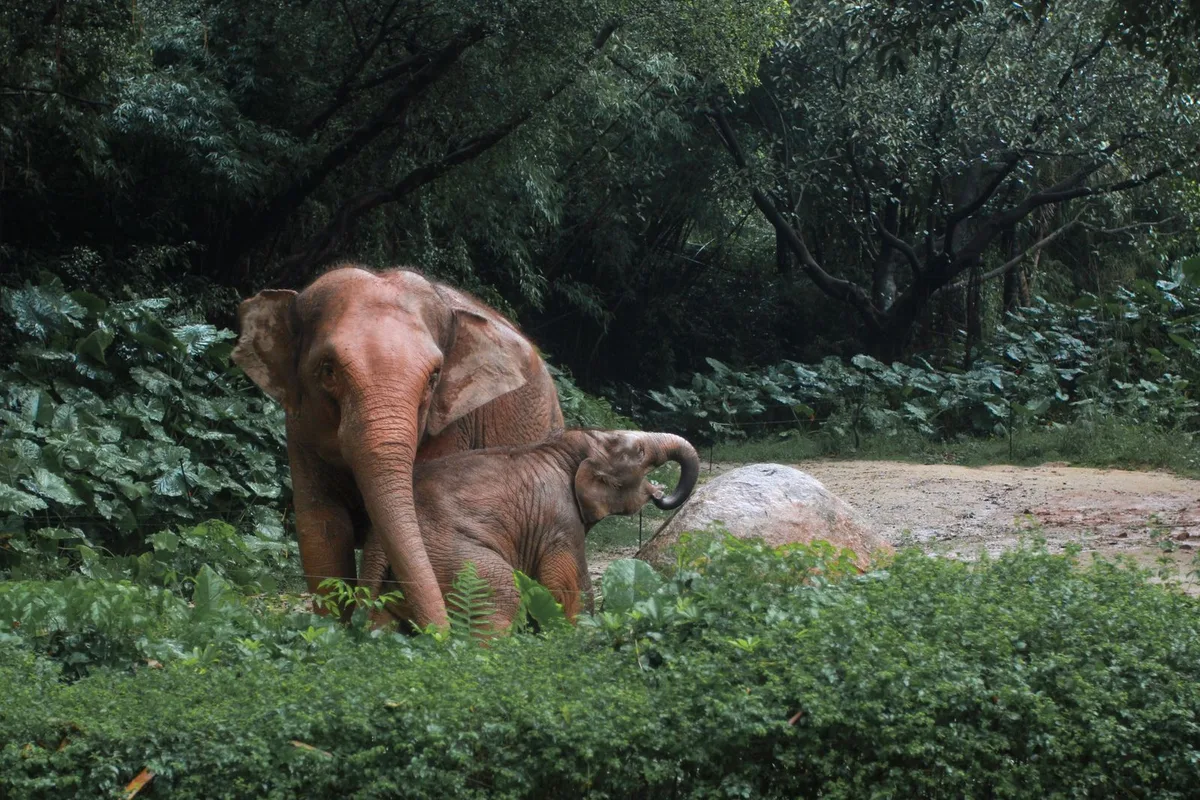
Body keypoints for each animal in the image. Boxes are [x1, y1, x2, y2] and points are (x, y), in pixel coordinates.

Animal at [231, 265, 565, 630]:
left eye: (434, 377)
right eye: (328, 370)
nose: (441, 635)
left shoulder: (451, 426)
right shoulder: (299, 427)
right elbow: (322, 529)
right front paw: (332, 631)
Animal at [360, 428, 700, 632]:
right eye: (641, 452)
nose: (661, 496)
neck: (572, 447)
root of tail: (377, 542)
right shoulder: (560, 521)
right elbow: (566, 585)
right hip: (449, 555)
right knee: (501, 594)